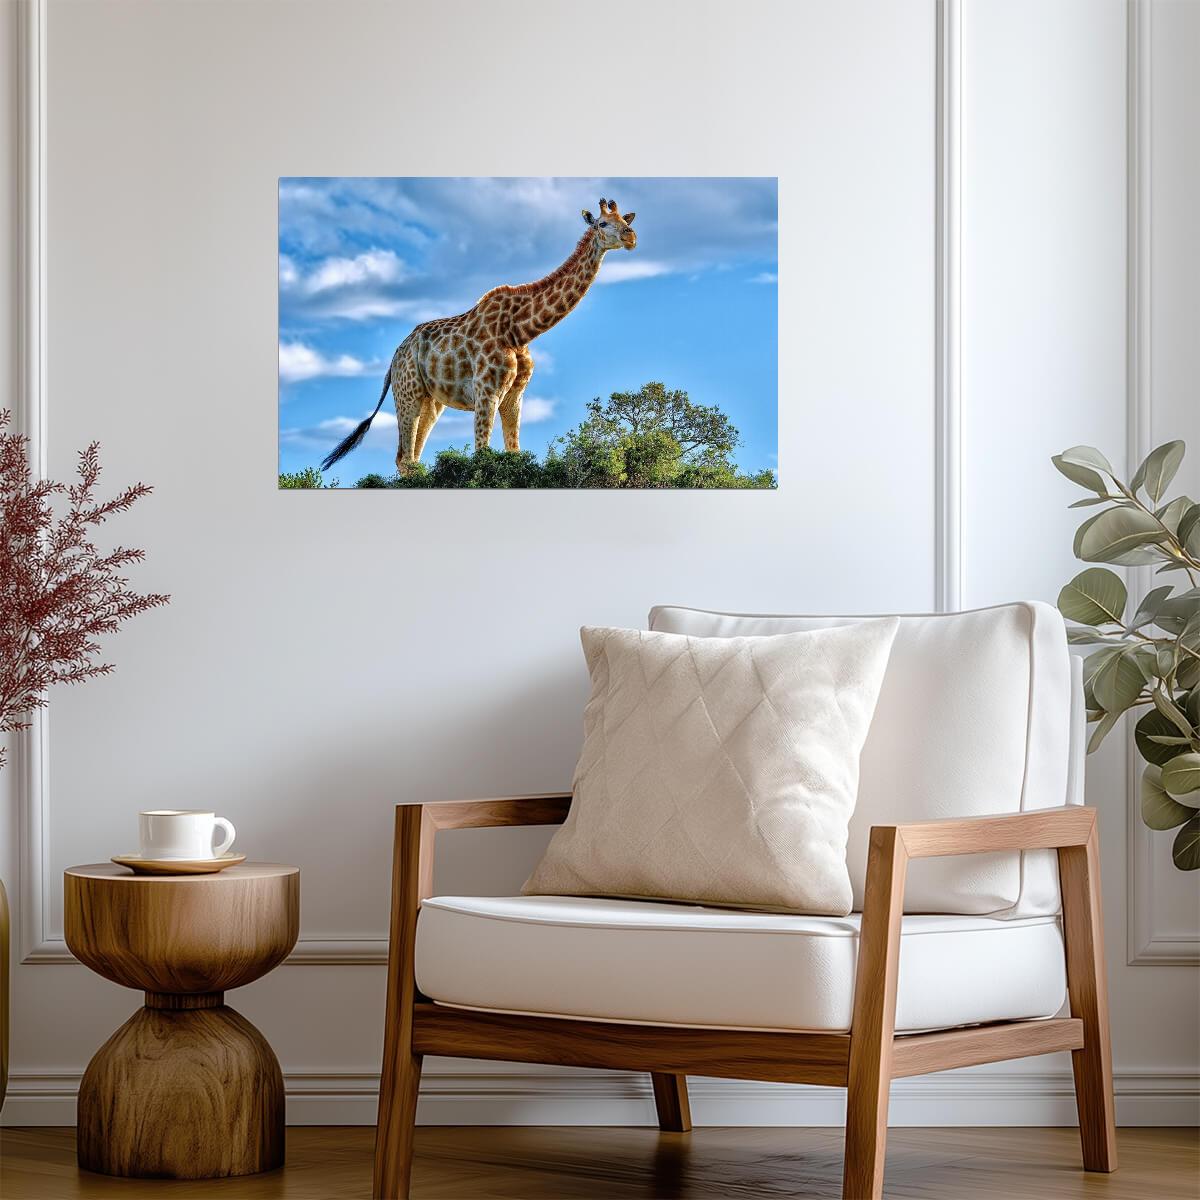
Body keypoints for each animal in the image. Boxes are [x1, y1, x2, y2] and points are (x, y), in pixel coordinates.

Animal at [320, 198, 637, 476]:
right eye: (603, 223)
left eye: (625, 220)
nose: (631, 237)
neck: (520, 330)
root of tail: (394, 357)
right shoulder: (487, 392)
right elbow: (482, 455)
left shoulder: (513, 397)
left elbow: (514, 453)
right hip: (407, 392)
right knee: (405, 457)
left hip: (430, 401)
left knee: (411, 458)